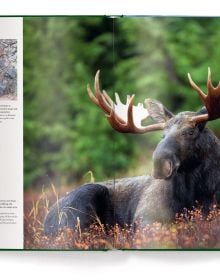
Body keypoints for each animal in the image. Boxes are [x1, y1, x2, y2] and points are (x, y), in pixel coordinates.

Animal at [43, 68, 220, 236]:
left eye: (191, 131)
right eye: (163, 134)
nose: (160, 164)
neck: (197, 193)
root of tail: (45, 223)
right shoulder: (146, 220)